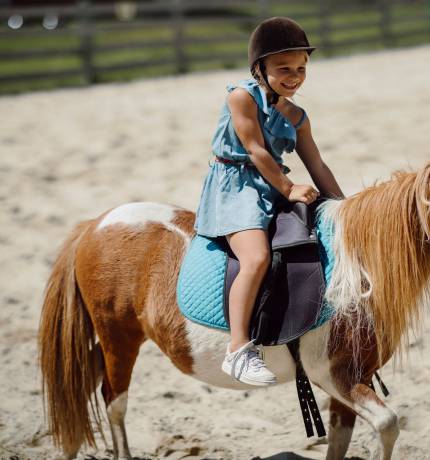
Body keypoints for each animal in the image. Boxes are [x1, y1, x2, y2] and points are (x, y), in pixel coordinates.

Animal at [38, 163, 430, 460]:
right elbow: (388, 424)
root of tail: (96, 224)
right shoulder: (333, 375)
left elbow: (341, 440)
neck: (356, 270)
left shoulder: (351, 380)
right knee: (113, 400)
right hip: (119, 339)